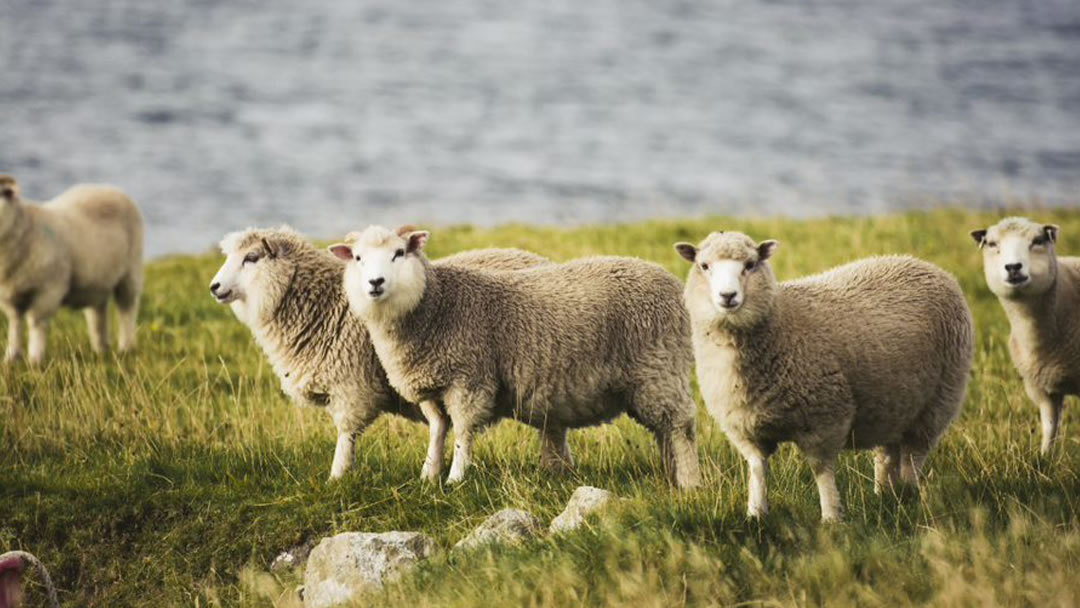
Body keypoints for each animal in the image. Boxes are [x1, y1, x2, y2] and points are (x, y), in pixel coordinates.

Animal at [0, 173, 143, 365]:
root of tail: (106, 188)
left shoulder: (48, 290)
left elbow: (36, 323)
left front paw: (35, 359)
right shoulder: (9, 295)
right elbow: (15, 324)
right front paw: (11, 358)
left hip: (130, 272)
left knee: (127, 310)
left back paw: (126, 347)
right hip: (97, 282)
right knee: (98, 313)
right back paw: (101, 348)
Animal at [210, 226, 548, 481]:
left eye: (251, 258)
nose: (214, 287)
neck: (326, 304)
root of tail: (539, 258)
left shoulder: (352, 386)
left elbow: (346, 435)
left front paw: (337, 478)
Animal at [332, 225, 704, 488]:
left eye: (398, 253)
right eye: (357, 258)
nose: (375, 282)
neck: (438, 305)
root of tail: (670, 281)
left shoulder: (470, 379)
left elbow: (463, 431)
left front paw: (455, 478)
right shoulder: (432, 387)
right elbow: (438, 431)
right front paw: (429, 474)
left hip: (659, 369)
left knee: (681, 427)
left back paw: (689, 482)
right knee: (665, 431)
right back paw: (671, 474)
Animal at [673, 231, 972, 520]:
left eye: (750, 264)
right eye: (704, 266)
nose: (727, 296)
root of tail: (925, 265)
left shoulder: (825, 418)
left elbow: (821, 472)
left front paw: (831, 518)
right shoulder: (745, 427)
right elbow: (757, 468)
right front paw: (755, 514)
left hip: (939, 399)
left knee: (913, 453)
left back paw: (909, 494)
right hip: (892, 404)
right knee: (887, 453)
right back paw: (885, 494)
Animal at [972, 215, 1080, 453]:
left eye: (1038, 241)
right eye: (992, 244)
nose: (1013, 267)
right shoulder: (1042, 388)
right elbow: (1049, 428)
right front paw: (1045, 457)